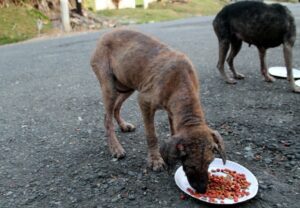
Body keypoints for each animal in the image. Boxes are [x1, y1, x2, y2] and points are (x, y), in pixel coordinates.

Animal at [90, 28, 226, 193]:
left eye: (210, 163)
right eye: (191, 166)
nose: (202, 190)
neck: (182, 83)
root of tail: (107, 33)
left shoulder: (172, 111)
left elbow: (173, 130)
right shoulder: (145, 102)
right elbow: (152, 135)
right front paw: (155, 160)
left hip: (127, 85)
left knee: (116, 107)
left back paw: (123, 125)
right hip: (109, 85)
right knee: (107, 117)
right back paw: (115, 147)